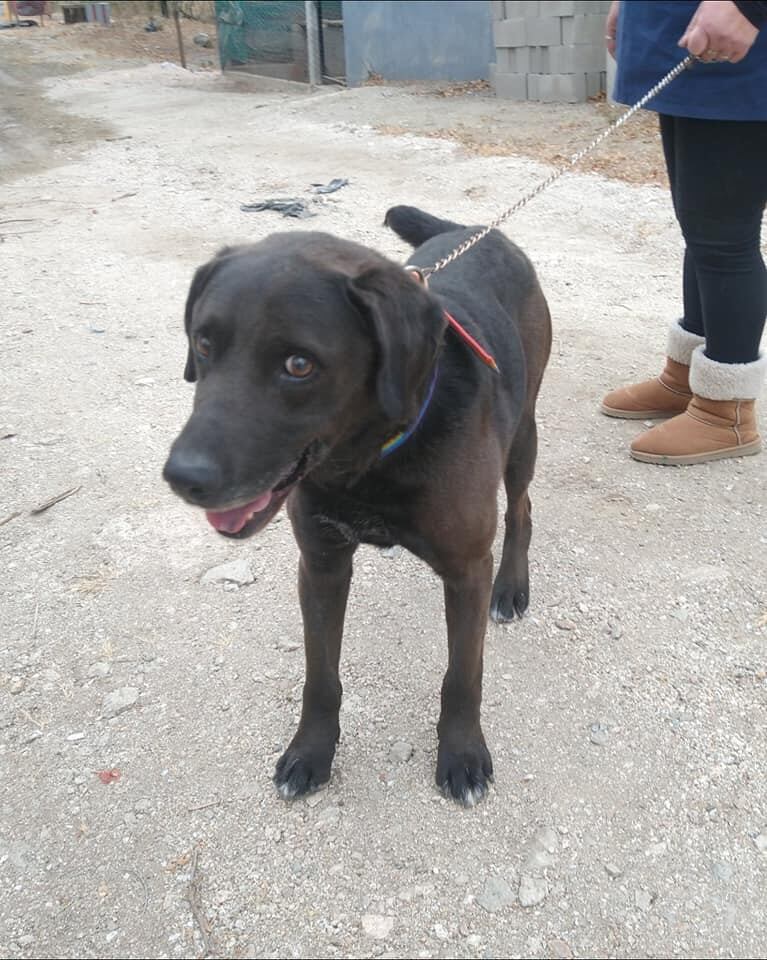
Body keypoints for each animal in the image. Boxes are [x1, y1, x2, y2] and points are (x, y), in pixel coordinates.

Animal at [166, 206, 552, 808]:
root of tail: (474, 231)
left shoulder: (467, 570)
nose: (183, 477)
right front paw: (310, 751)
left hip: (523, 438)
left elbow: (462, 677)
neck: (371, 461)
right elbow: (320, 676)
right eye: (204, 345)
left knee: (522, 510)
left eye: (299, 364)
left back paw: (512, 586)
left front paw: (463, 753)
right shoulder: (322, 565)